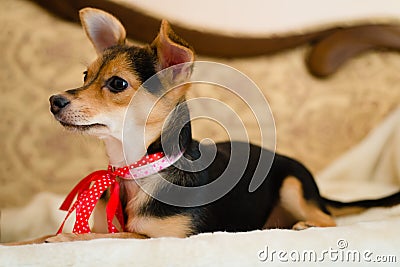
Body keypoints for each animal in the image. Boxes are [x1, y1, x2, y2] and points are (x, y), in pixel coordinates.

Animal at [41, 7, 400, 243]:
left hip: (293, 186)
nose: (54, 100)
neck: (135, 169)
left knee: (328, 219)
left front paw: (59, 240)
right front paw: (35, 239)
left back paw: (304, 225)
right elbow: (95, 234)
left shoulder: (162, 238)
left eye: (117, 84)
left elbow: (101, 237)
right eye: (85, 76)